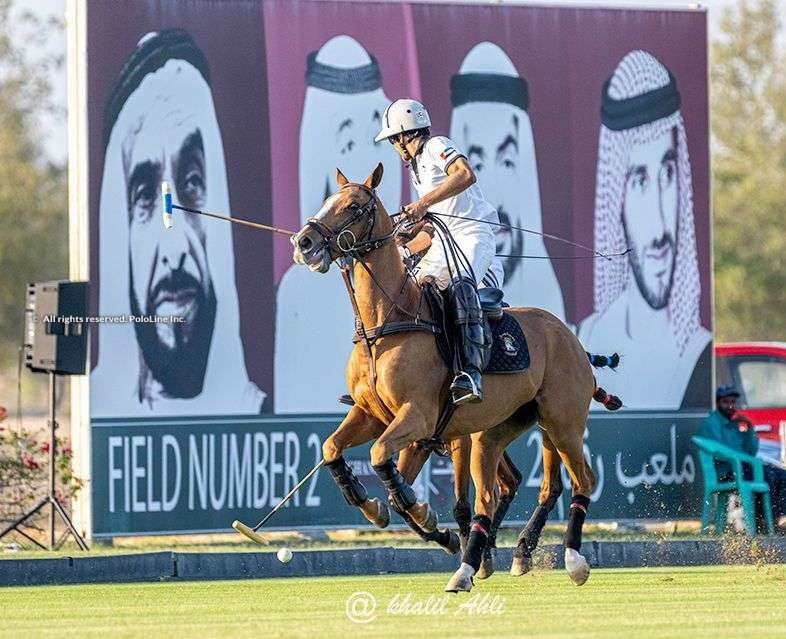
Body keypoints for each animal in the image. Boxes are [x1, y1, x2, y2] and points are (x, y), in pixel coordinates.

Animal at [292, 164, 612, 592]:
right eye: (329, 200)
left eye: (355, 206)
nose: (303, 241)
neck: (386, 323)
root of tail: (573, 339)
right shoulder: (371, 414)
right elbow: (334, 450)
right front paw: (379, 507)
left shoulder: (418, 415)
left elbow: (379, 456)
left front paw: (421, 515)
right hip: (499, 431)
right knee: (509, 489)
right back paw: (494, 557)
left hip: (563, 421)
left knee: (581, 481)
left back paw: (572, 559)